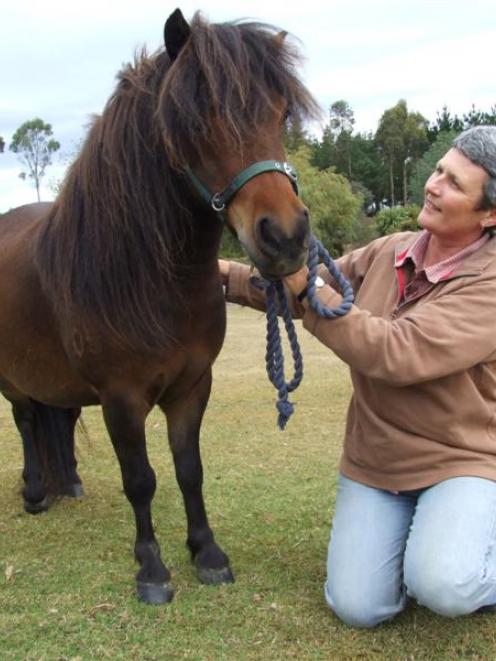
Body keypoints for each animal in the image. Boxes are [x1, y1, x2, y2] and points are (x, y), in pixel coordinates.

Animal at [0, 7, 318, 604]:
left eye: (282, 113)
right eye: (198, 119)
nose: (285, 237)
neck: (149, 280)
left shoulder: (192, 386)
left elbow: (189, 468)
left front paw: (207, 553)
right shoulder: (122, 399)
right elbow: (141, 480)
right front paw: (151, 568)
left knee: (55, 418)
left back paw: (66, 482)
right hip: (11, 377)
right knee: (27, 419)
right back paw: (34, 492)